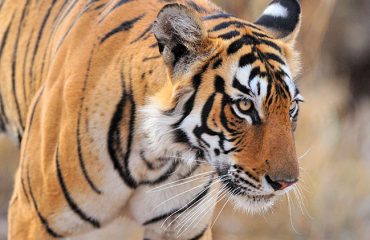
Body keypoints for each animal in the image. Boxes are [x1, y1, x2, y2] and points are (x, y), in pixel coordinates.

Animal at [0, 0, 302, 239]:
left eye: (291, 108)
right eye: (245, 106)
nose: (286, 183)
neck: (156, 159)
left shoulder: (182, 229)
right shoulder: (31, 217)